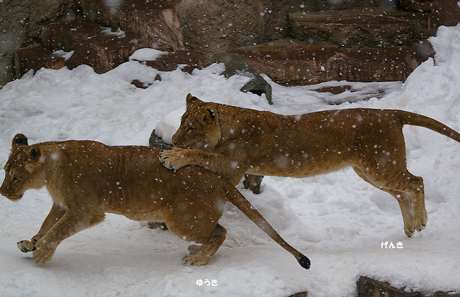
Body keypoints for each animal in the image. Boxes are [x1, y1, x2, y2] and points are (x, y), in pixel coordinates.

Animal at [0, 133, 310, 268]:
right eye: (5, 171)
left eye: (15, 177)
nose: (2, 192)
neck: (52, 170)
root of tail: (215, 177)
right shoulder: (62, 205)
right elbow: (46, 224)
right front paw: (31, 243)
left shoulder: (86, 211)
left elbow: (57, 230)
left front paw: (41, 253)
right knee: (217, 231)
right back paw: (198, 251)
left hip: (181, 221)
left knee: (221, 231)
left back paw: (198, 259)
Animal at [160, 93, 460, 237]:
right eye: (181, 122)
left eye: (190, 127)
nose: (173, 140)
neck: (228, 125)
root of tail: (390, 113)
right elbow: (203, 154)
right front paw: (172, 151)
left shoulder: (234, 168)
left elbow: (200, 155)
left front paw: (173, 156)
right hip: (368, 172)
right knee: (402, 192)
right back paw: (410, 228)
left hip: (381, 167)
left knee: (416, 182)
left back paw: (421, 222)